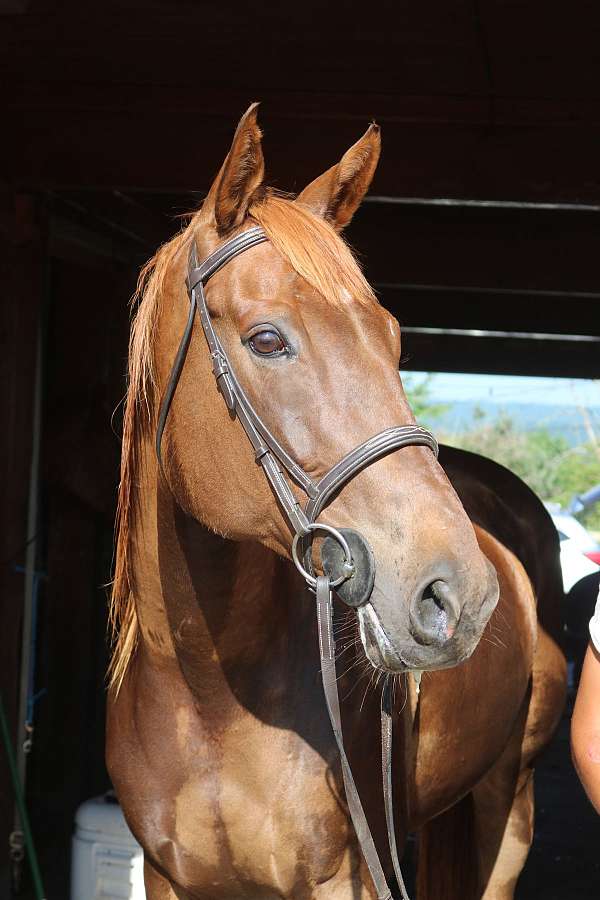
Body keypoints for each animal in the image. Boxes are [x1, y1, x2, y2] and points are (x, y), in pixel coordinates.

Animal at [106, 105, 566, 900]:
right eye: (266, 340)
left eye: (392, 336)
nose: (458, 593)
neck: (206, 697)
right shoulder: (168, 877)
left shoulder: (341, 878)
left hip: (509, 808)